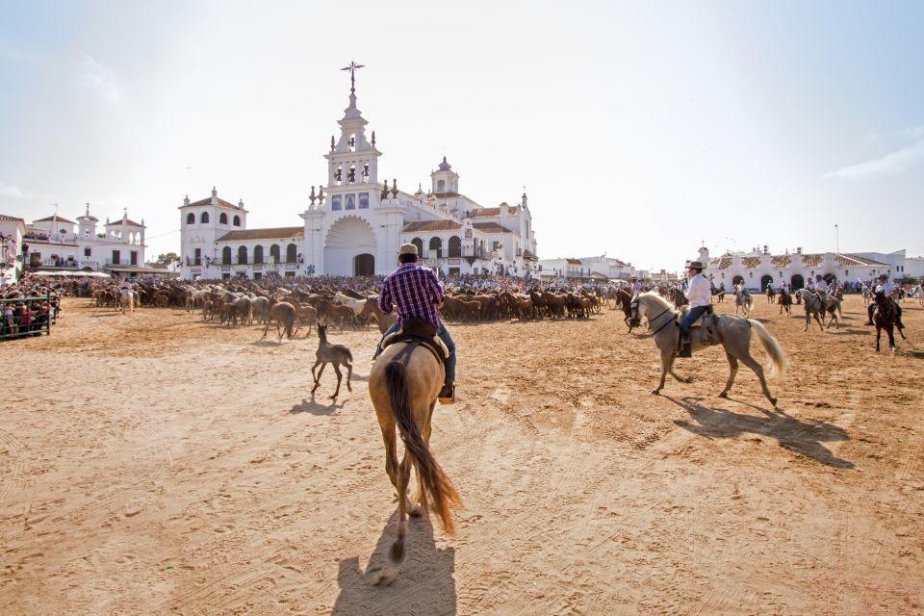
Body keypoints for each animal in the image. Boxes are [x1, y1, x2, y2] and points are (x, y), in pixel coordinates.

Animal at [368, 340, 462, 584]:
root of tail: (397, 365)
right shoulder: (429, 406)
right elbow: (426, 439)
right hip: (413, 417)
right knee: (405, 466)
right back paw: (401, 543)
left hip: (385, 418)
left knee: (392, 466)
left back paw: (410, 507)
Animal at [632, 292, 792, 406]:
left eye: (633, 307)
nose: (632, 322)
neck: (666, 321)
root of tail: (745, 321)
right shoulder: (671, 352)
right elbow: (670, 370)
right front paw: (685, 380)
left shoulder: (665, 351)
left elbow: (664, 371)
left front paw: (658, 388)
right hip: (730, 350)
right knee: (734, 368)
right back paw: (724, 392)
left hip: (741, 352)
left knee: (757, 368)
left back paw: (771, 398)